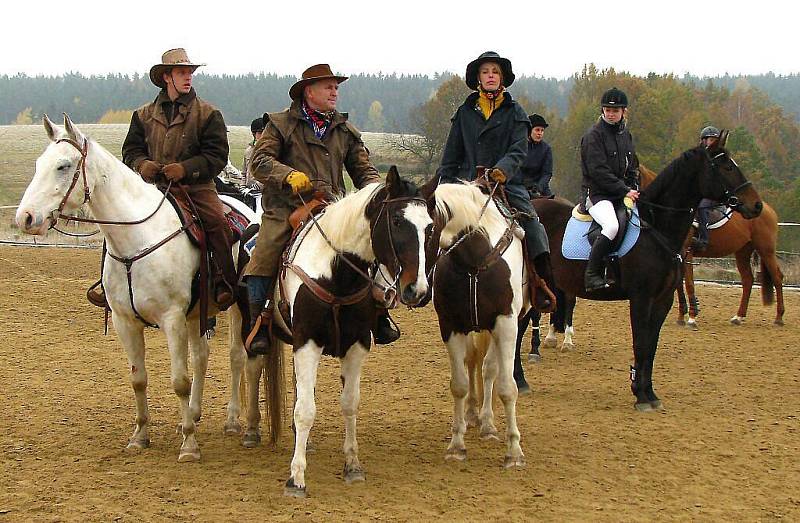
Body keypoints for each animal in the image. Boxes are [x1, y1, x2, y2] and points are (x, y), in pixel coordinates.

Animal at [15, 115, 253, 462]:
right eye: (38, 164)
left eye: (63, 166)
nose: (26, 217)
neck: (136, 242)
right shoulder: (125, 321)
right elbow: (138, 379)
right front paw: (140, 435)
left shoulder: (172, 319)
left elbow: (179, 380)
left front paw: (189, 444)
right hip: (197, 312)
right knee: (202, 357)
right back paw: (194, 413)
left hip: (235, 305)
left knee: (235, 357)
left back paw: (232, 420)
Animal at [242, 168, 432, 500]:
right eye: (397, 221)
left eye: (430, 227)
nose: (417, 290)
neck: (335, 273)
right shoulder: (307, 343)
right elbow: (305, 410)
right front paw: (296, 478)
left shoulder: (357, 345)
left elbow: (350, 403)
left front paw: (352, 465)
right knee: (252, 368)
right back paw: (252, 429)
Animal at [428, 181, 528, 470]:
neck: (474, 261)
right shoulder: (451, 326)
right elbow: (459, 385)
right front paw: (456, 446)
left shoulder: (506, 324)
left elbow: (507, 387)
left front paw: (514, 451)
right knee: (474, 362)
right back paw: (474, 414)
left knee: (489, 368)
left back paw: (488, 424)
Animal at [536, 137, 760, 412]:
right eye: (726, 166)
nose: (756, 205)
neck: (656, 228)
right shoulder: (641, 298)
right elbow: (641, 343)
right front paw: (641, 396)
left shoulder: (663, 300)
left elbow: (651, 346)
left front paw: (648, 392)